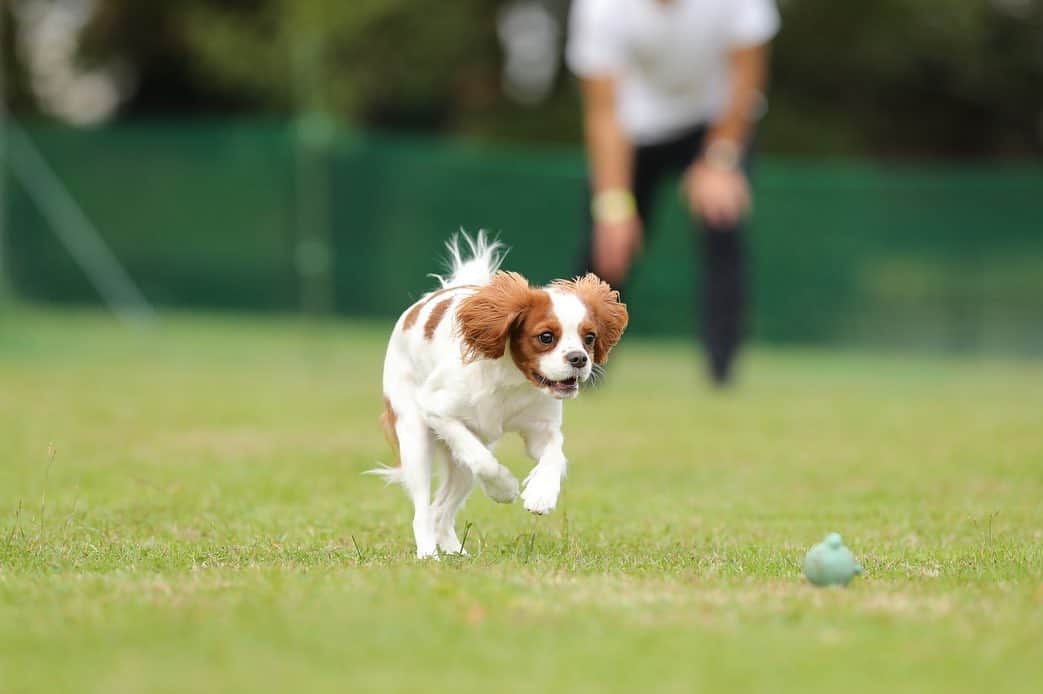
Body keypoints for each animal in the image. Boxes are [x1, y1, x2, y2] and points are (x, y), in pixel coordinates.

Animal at [367, 232, 625, 559]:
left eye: (589, 337)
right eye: (546, 337)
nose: (579, 359)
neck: (512, 379)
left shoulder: (541, 430)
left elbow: (554, 456)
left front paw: (541, 494)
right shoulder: (439, 411)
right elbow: (484, 462)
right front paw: (504, 489)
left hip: (458, 464)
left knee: (441, 509)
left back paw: (454, 551)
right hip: (416, 439)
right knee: (424, 509)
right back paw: (428, 554)